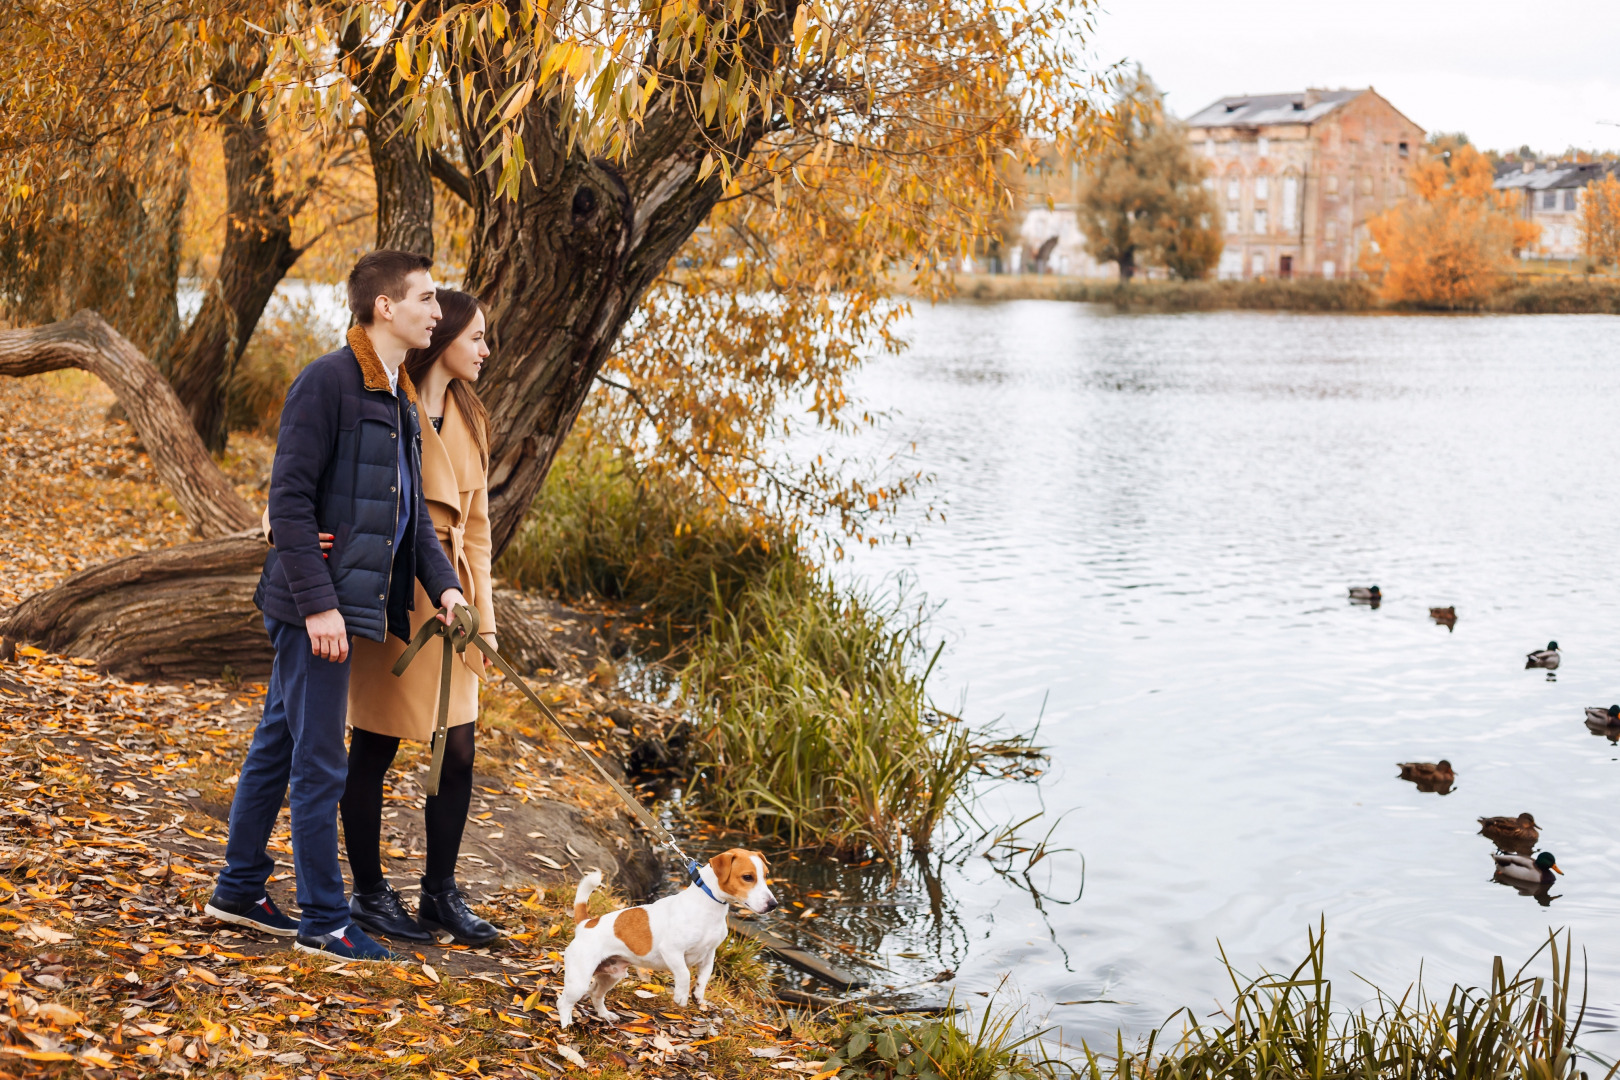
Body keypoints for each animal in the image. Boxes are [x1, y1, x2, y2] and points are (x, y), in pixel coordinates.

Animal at [557, 848, 777, 1029]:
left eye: (766, 876)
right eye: (747, 877)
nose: (773, 904)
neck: (708, 905)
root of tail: (586, 923)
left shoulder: (709, 955)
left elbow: (704, 977)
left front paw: (698, 995)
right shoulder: (672, 951)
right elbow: (685, 974)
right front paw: (681, 996)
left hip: (611, 975)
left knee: (596, 994)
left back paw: (605, 1015)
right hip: (579, 980)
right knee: (564, 1001)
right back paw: (566, 1026)